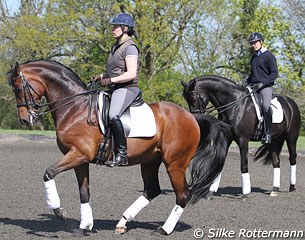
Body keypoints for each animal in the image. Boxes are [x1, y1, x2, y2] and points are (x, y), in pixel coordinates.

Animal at [7, 60, 230, 236]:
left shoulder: (78, 154)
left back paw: (164, 229)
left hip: (175, 163)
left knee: (183, 194)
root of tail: (191, 116)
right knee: (152, 190)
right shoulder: (80, 159)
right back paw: (122, 223)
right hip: (150, 161)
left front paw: (59, 212)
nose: (25, 120)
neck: (75, 108)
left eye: (18, 89)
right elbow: (84, 192)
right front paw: (85, 226)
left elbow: (48, 173)